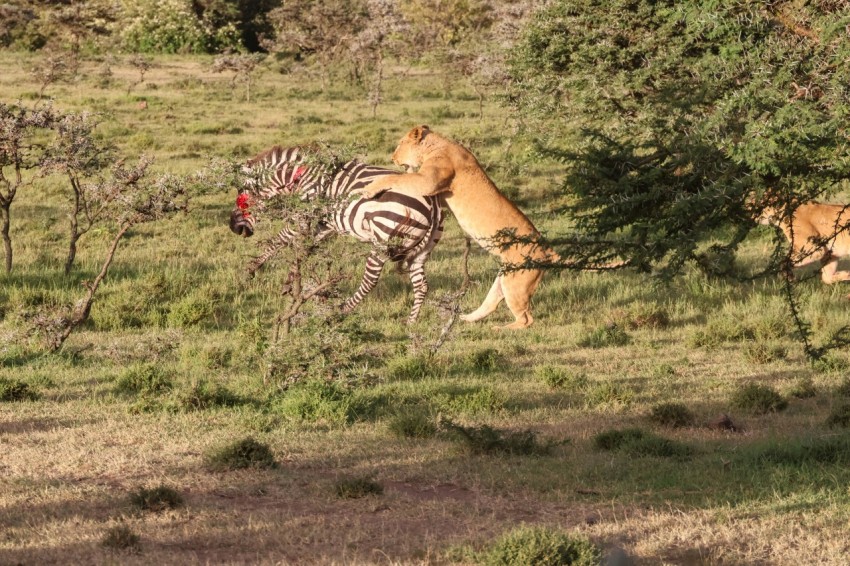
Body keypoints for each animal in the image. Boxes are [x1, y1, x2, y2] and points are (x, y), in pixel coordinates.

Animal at [232, 146, 444, 324]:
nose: (233, 228)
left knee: (370, 280)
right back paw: (411, 322)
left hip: (384, 237)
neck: (301, 175)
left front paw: (250, 270)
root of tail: (432, 205)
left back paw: (340, 311)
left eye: (242, 197)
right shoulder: (325, 224)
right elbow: (304, 247)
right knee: (421, 285)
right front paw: (289, 281)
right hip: (423, 249)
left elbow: (281, 239)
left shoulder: (304, 213)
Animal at [352, 124, 556, 328]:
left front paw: (369, 188)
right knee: (492, 303)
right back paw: (467, 318)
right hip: (505, 278)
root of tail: (548, 251)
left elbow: (398, 178)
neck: (435, 146)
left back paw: (499, 328)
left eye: (401, 143)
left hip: (517, 284)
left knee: (526, 319)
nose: (392, 158)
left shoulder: (428, 181)